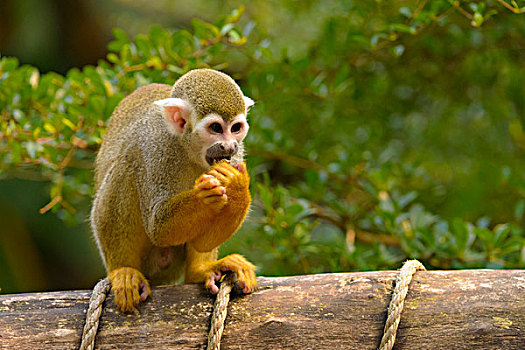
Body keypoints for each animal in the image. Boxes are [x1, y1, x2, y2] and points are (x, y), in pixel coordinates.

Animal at [91, 68, 256, 312]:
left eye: (236, 128)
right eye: (215, 128)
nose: (228, 145)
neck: (188, 148)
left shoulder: (236, 155)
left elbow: (203, 241)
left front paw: (237, 186)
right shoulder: (155, 147)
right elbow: (158, 227)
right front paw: (203, 196)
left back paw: (199, 271)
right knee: (126, 166)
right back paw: (123, 270)